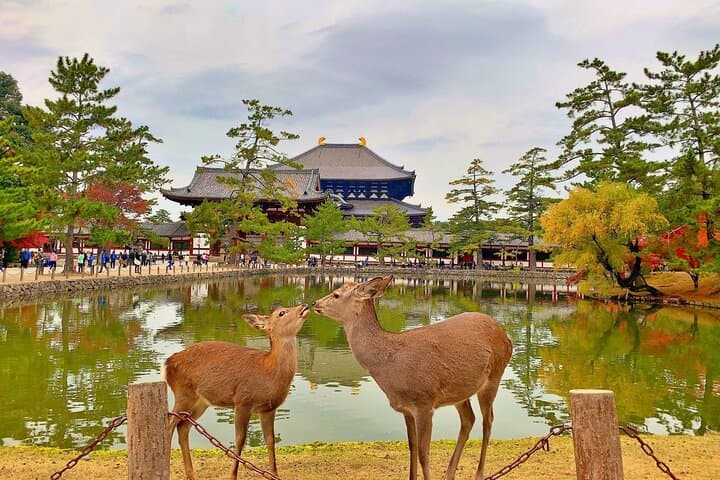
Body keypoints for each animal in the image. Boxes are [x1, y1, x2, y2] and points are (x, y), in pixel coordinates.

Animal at [164, 303, 310, 480]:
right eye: (281, 313)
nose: (304, 305)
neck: (268, 371)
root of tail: (167, 363)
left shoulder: (269, 409)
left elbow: (270, 439)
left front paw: (274, 474)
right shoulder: (242, 401)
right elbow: (240, 440)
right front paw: (232, 475)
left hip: (200, 401)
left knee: (183, 427)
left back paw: (191, 473)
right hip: (183, 393)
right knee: (170, 425)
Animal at [312, 276, 512, 480]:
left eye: (336, 294)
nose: (315, 303)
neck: (391, 366)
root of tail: (506, 336)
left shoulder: (424, 403)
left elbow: (424, 453)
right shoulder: (406, 408)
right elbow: (412, 447)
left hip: (494, 376)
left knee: (488, 421)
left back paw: (479, 473)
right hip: (460, 391)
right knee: (468, 419)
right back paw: (449, 473)